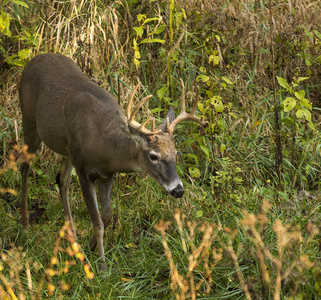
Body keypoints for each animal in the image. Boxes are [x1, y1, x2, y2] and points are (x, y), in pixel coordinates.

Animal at [19, 52, 205, 270]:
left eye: (176, 153)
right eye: (153, 156)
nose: (178, 190)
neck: (104, 147)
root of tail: (32, 61)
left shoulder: (107, 175)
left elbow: (106, 217)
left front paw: (87, 249)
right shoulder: (83, 171)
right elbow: (98, 223)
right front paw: (101, 268)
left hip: (66, 148)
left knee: (61, 179)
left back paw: (73, 239)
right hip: (29, 121)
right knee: (24, 166)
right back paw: (25, 225)